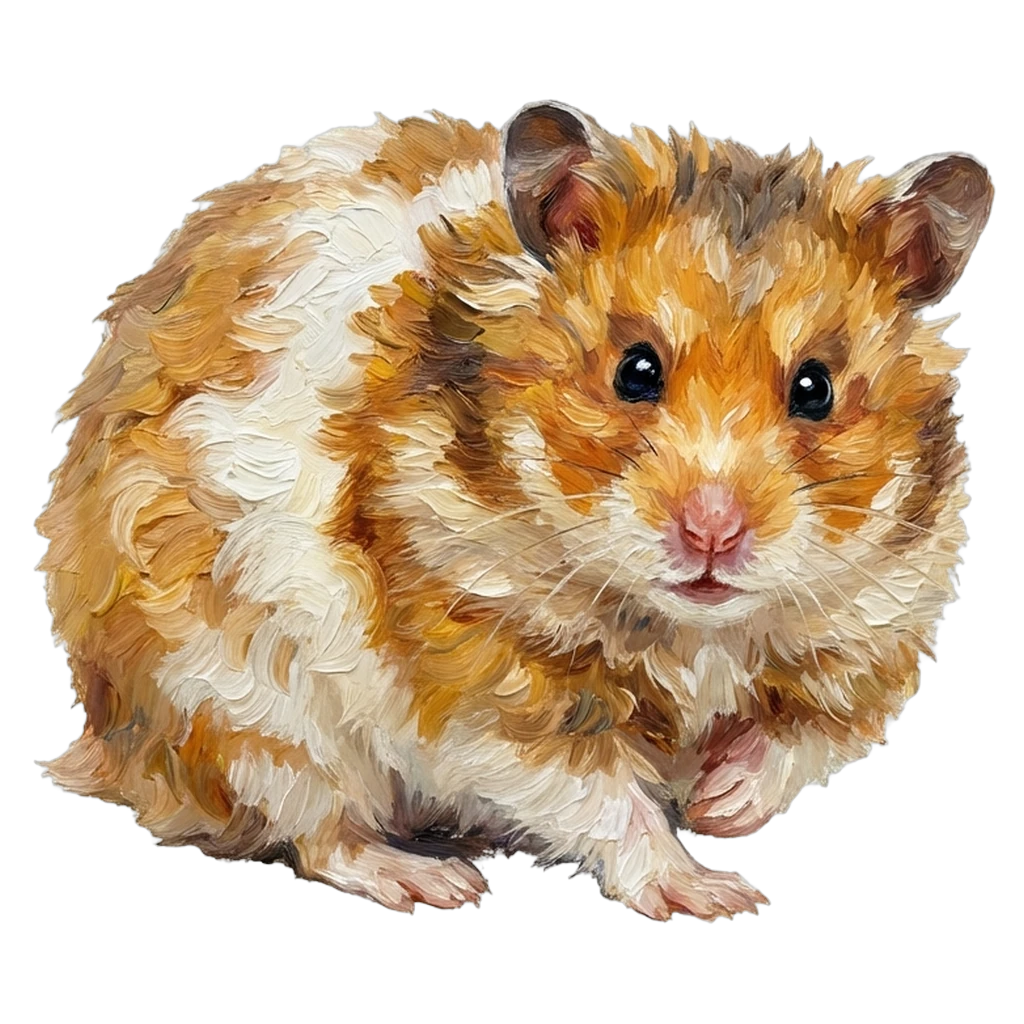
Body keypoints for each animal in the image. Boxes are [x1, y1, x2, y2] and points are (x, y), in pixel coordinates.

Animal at [36, 103, 993, 922]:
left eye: (815, 388)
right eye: (636, 370)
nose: (712, 532)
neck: (696, 632)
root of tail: (109, 743)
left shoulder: (874, 631)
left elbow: (806, 741)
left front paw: (721, 803)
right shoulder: (486, 672)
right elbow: (599, 795)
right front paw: (709, 893)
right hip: (242, 712)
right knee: (316, 833)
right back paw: (429, 881)